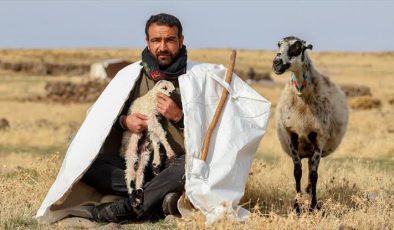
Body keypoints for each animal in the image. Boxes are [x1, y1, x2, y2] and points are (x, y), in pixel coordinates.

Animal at [120, 79, 175, 207]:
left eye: (173, 88)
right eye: (164, 88)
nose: (172, 93)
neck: (152, 97)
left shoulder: (152, 123)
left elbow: (156, 140)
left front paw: (156, 164)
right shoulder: (150, 118)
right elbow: (160, 135)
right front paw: (170, 153)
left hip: (144, 152)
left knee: (139, 172)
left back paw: (139, 194)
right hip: (131, 145)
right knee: (129, 171)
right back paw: (133, 198)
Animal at [270, 36, 348, 212]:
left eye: (297, 46)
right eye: (279, 44)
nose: (276, 63)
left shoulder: (318, 138)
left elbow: (314, 175)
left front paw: (314, 206)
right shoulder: (292, 136)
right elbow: (297, 172)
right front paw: (297, 206)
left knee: (313, 172)